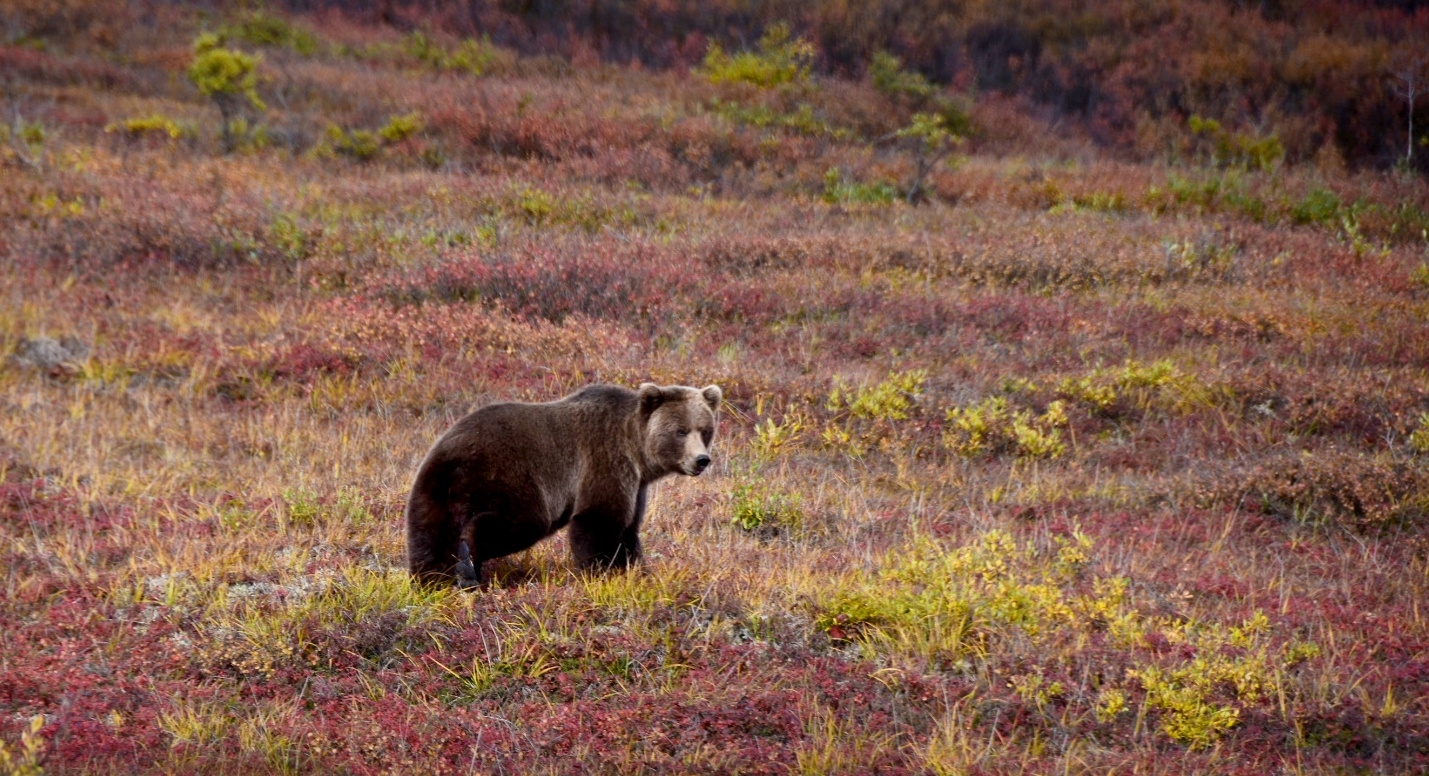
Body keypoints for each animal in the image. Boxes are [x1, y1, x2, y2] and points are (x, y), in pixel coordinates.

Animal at [405, 382, 720, 588]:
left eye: (705, 429)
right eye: (680, 431)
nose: (701, 460)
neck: (637, 451)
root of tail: (452, 455)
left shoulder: (635, 483)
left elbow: (628, 530)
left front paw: (635, 571)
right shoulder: (605, 460)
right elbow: (598, 522)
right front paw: (599, 574)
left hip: (433, 490)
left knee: (429, 537)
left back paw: (433, 581)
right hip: (510, 475)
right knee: (520, 521)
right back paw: (468, 563)